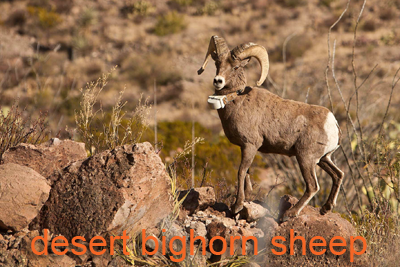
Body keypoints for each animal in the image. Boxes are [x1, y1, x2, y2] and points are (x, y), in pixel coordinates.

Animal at [197, 35, 344, 221]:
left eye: (235, 67)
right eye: (217, 64)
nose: (218, 81)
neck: (237, 102)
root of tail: (332, 122)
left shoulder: (250, 145)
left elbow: (241, 172)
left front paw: (237, 206)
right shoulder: (246, 148)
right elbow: (247, 173)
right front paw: (247, 199)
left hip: (306, 159)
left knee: (312, 186)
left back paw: (290, 214)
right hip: (324, 159)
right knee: (338, 175)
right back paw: (325, 208)